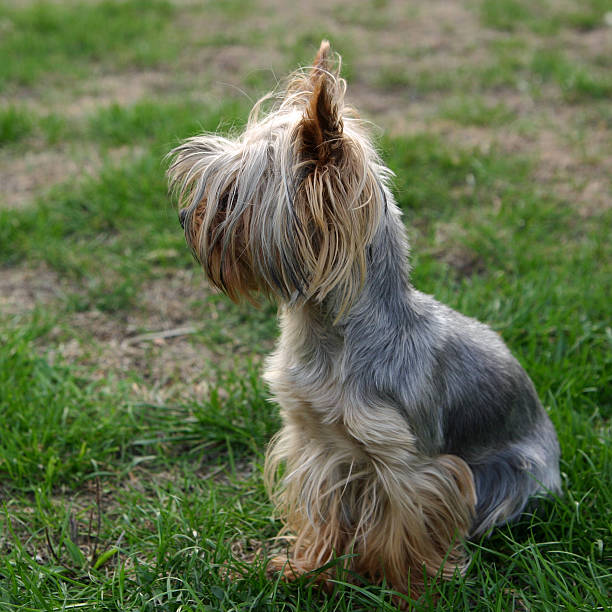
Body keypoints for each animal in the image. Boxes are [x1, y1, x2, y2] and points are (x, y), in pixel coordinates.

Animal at [167, 40, 560, 596]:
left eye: (228, 199)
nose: (184, 217)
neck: (327, 336)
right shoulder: (317, 444)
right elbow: (324, 513)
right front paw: (308, 570)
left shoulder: (407, 463)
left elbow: (405, 532)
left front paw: (409, 592)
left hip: (514, 475)